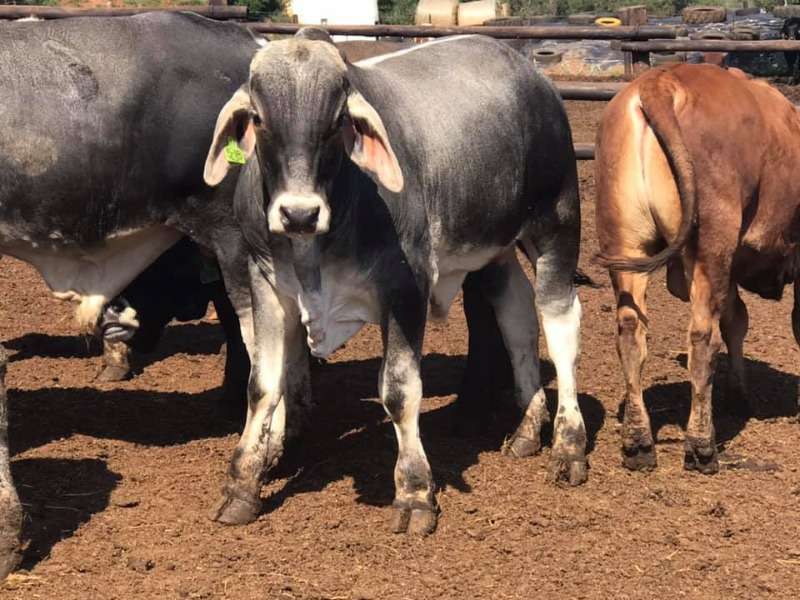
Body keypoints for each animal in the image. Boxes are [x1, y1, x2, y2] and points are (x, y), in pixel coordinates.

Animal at [202, 31, 585, 535]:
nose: (299, 214)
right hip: (495, 250)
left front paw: (415, 493)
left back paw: (569, 444)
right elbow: (263, 386)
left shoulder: (406, 288)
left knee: (560, 326)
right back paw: (527, 428)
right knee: (518, 317)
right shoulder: (266, 284)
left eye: (337, 121)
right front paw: (242, 486)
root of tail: (533, 74)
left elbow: (400, 391)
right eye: (260, 119)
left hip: (556, 223)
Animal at [595, 63, 800, 475]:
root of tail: (660, 81)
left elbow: (738, 319)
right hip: (712, 243)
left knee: (630, 332)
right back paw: (702, 446)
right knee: (703, 339)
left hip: (625, 245)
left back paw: (638, 443)